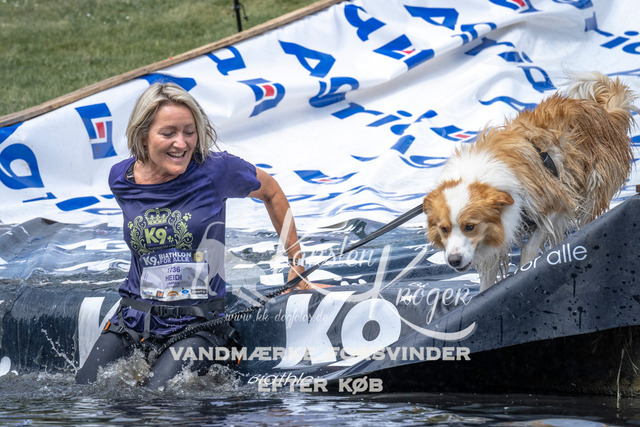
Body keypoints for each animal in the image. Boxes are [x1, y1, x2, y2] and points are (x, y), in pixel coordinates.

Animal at [422, 72, 637, 291]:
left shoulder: (555, 205)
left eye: (469, 227)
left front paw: (525, 274)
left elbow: (529, 249)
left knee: (588, 221)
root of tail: (605, 112)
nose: (453, 261)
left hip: (592, 192)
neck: (479, 177)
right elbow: (488, 276)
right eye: (444, 229)